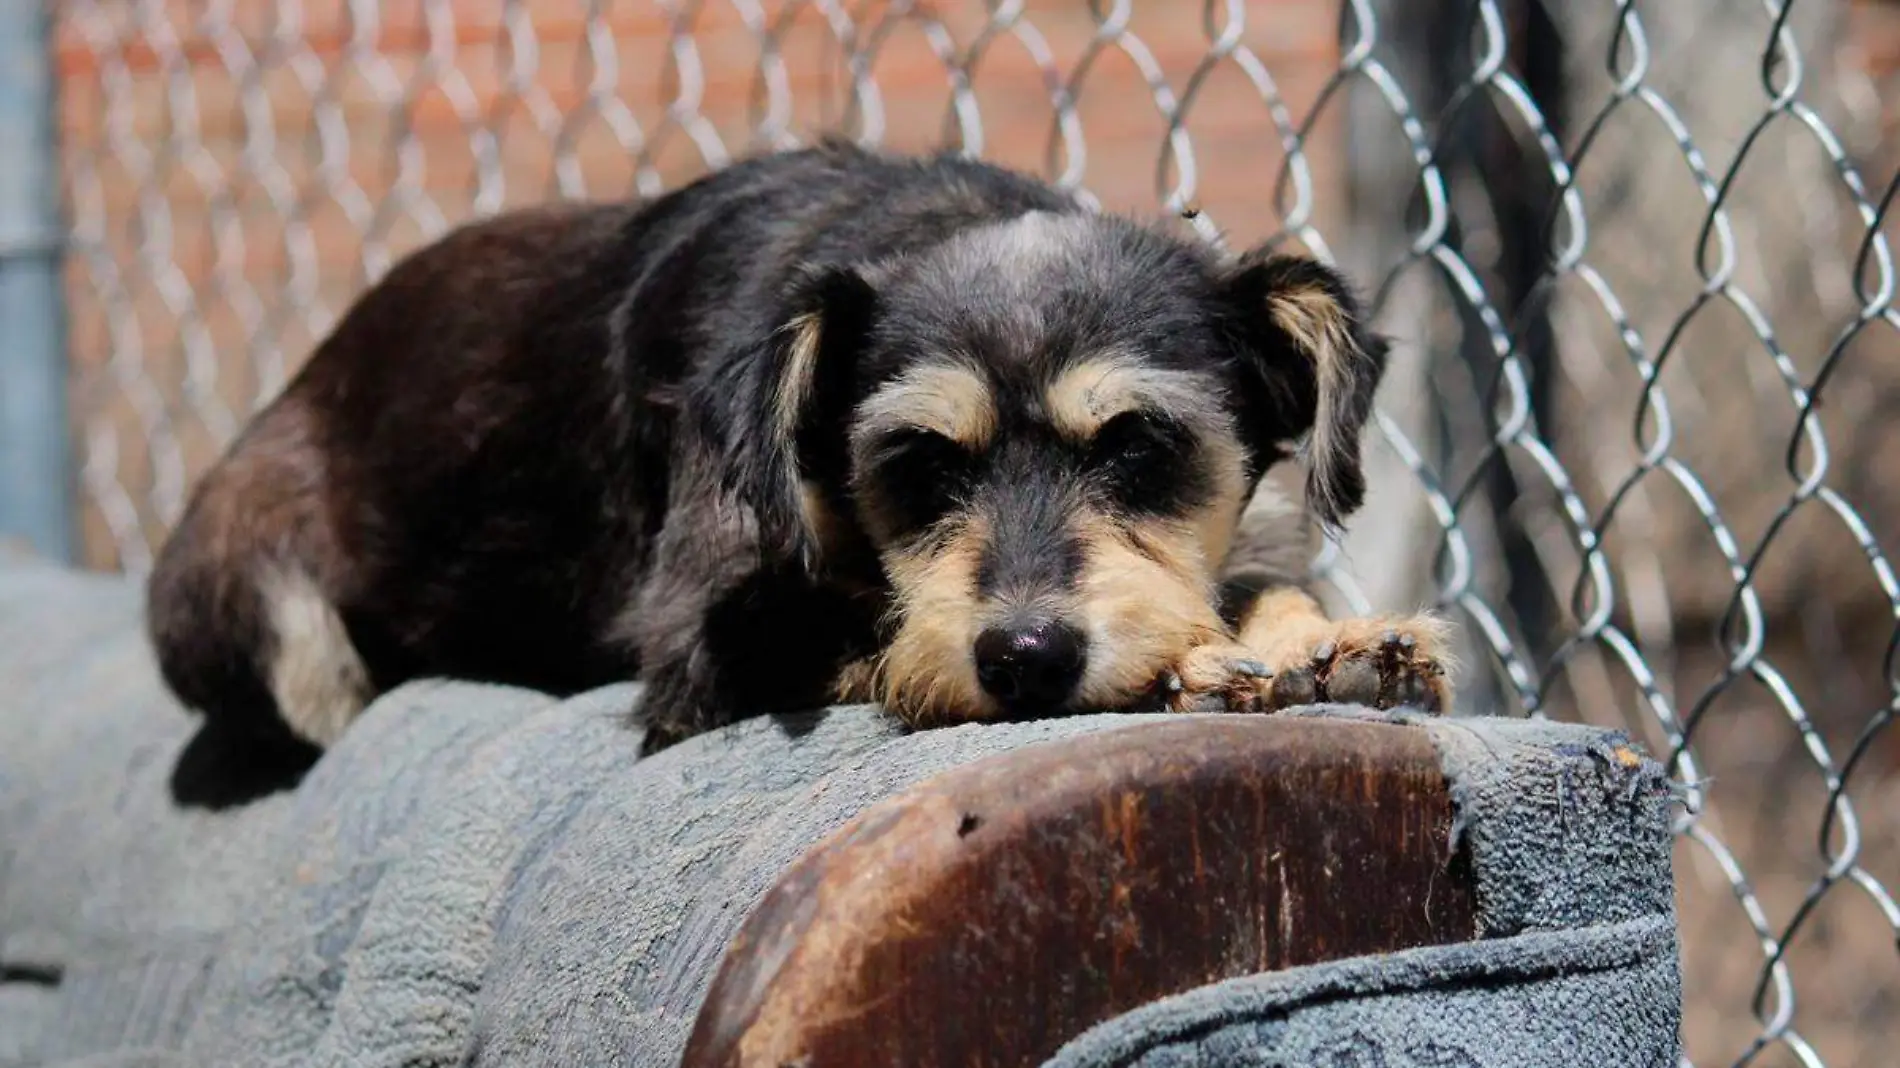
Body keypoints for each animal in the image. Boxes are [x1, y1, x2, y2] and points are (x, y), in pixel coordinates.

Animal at [148, 139, 1451, 782]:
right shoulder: (702, 644)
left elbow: (1255, 579)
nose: (1025, 659)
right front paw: (1186, 670)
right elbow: (868, 630)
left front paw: (1327, 640)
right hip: (249, 597)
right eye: (916, 462)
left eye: (1137, 444)